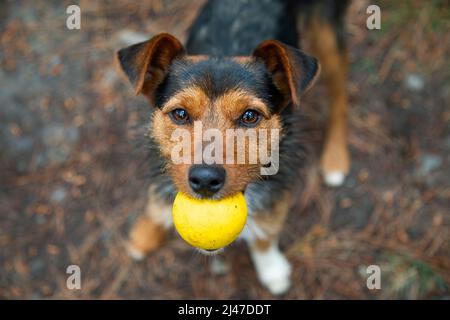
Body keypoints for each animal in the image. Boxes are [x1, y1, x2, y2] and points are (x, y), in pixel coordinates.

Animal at [118, 0, 350, 296]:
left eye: (250, 116)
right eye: (180, 114)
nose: (205, 180)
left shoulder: (276, 185)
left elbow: (266, 228)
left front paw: (270, 266)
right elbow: (156, 199)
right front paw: (146, 233)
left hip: (326, 29)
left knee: (340, 92)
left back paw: (336, 157)